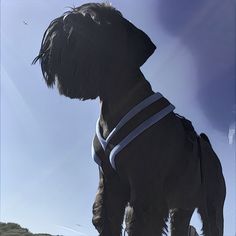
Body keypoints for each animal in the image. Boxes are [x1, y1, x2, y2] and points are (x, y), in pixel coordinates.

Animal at [33, 2, 227, 235]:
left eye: (98, 22)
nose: (62, 25)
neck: (118, 101)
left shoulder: (145, 188)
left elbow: (139, 224)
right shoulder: (109, 187)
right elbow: (107, 219)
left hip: (212, 207)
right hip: (181, 207)